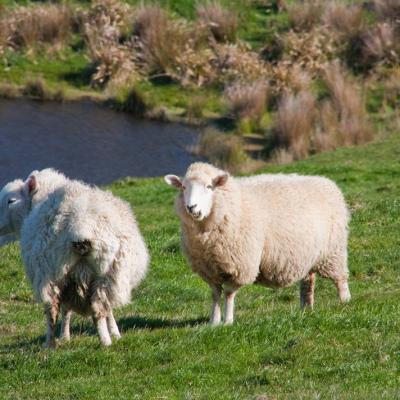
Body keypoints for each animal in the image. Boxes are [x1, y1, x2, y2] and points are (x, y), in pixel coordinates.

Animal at [0, 169, 149, 346]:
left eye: (11, 201)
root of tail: (80, 224)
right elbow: (107, 310)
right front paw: (115, 333)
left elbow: (67, 310)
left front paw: (65, 336)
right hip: (104, 274)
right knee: (97, 310)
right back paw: (105, 342)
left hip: (50, 272)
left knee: (52, 310)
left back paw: (50, 345)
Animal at [165, 162, 350, 324]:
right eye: (183, 187)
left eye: (209, 187)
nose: (192, 207)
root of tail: (327, 182)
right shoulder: (209, 268)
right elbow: (215, 294)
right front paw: (214, 322)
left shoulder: (241, 265)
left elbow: (229, 293)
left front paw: (228, 321)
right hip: (309, 255)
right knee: (308, 282)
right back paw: (306, 309)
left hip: (334, 252)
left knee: (340, 279)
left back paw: (345, 303)